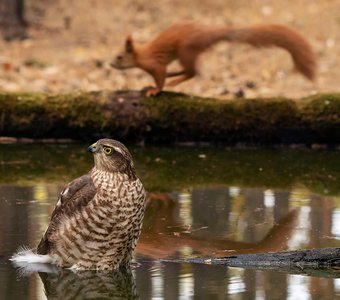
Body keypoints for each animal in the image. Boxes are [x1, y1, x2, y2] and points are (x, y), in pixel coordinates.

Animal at [111, 21, 316, 96]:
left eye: (119, 57)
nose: (111, 64)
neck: (141, 54)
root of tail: (206, 33)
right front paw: (149, 86)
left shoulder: (155, 64)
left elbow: (159, 77)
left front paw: (154, 90)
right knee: (190, 71)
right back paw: (173, 76)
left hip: (186, 50)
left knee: (193, 72)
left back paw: (173, 81)